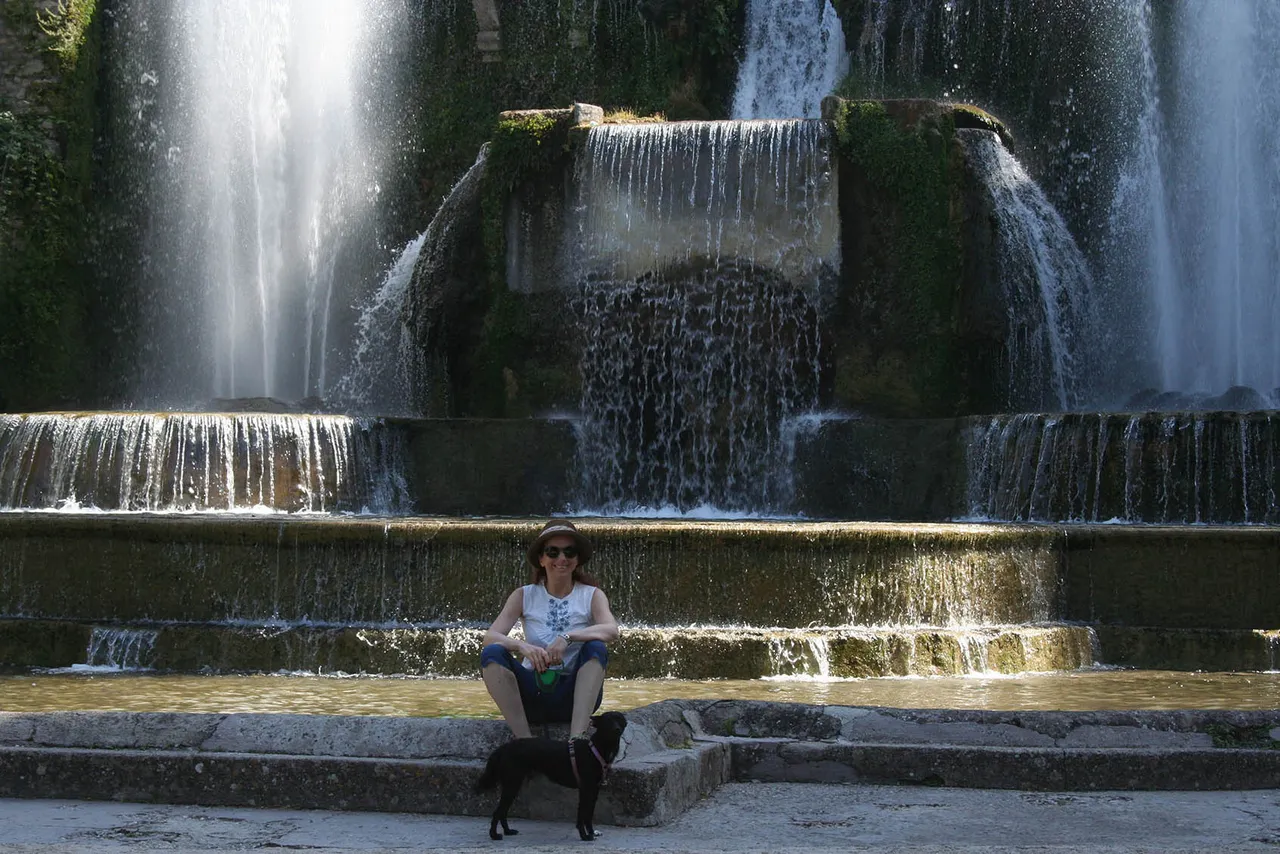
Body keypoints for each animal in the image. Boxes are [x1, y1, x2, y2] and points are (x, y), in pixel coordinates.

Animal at [473, 717, 627, 839]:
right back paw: (494, 835)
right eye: (607, 721)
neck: (596, 749)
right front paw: (584, 836)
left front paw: (591, 833)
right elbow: (582, 815)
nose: (616, 728)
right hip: (512, 784)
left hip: (513, 785)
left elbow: (588, 815)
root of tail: (503, 748)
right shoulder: (585, 790)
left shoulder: (594, 790)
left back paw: (508, 831)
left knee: (503, 812)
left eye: (620, 720)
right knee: (497, 812)